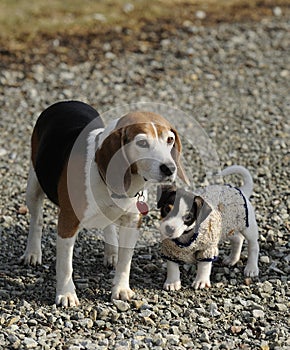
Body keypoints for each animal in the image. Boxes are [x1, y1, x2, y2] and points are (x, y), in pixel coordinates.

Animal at [20, 100, 188, 306]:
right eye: (142, 143)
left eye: (170, 140)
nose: (170, 168)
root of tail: (65, 102)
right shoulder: (68, 221)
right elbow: (65, 266)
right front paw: (66, 294)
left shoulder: (132, 222)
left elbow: (125, 262)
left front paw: (121, 289)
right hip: (33, 186)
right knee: (36, 220)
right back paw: (32, 253)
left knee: (108, 226)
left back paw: (111, 253)